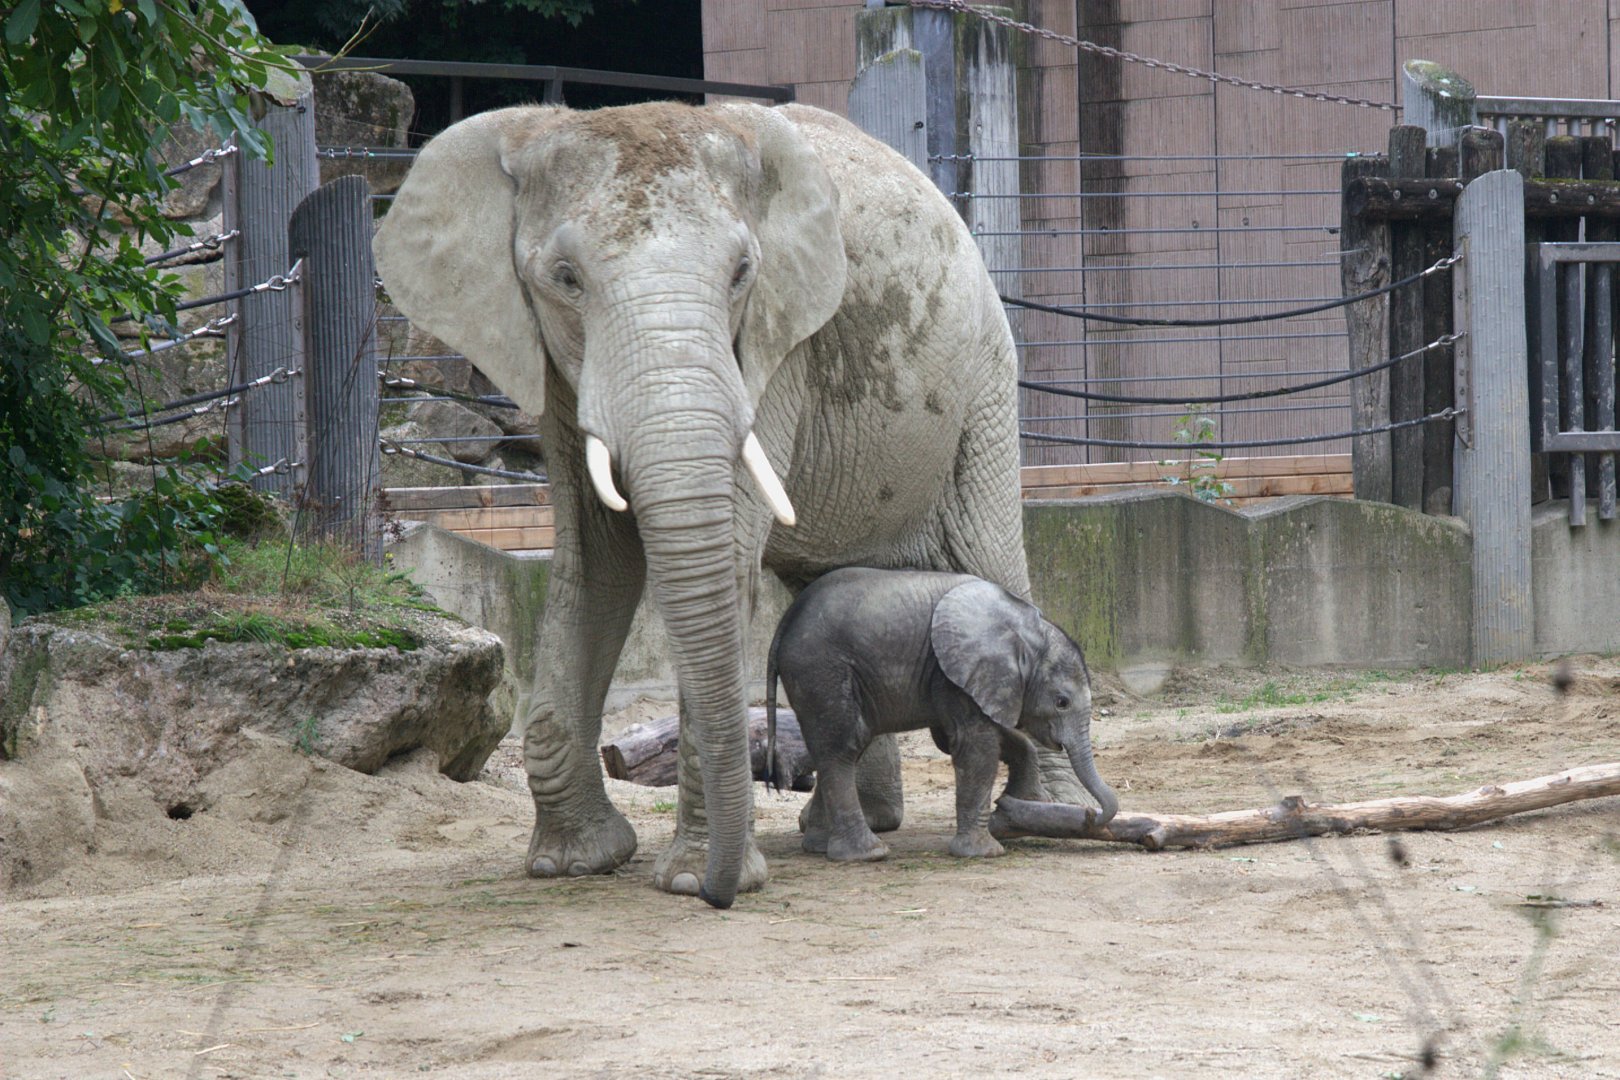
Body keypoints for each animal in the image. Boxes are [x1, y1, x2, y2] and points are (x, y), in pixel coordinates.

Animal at [765, 567, 1118, 862]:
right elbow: (974, 744)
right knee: (843, 748)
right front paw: (985, 852)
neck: (1026, 631)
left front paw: (1023, 804)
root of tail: (785, 621)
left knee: (841, 747)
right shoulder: (957, 672)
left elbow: (958, 738)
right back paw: (868, 854)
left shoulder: (955, 676)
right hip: (822, 670)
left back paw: (819, 846)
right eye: (1062, 702)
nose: (1091, 816)